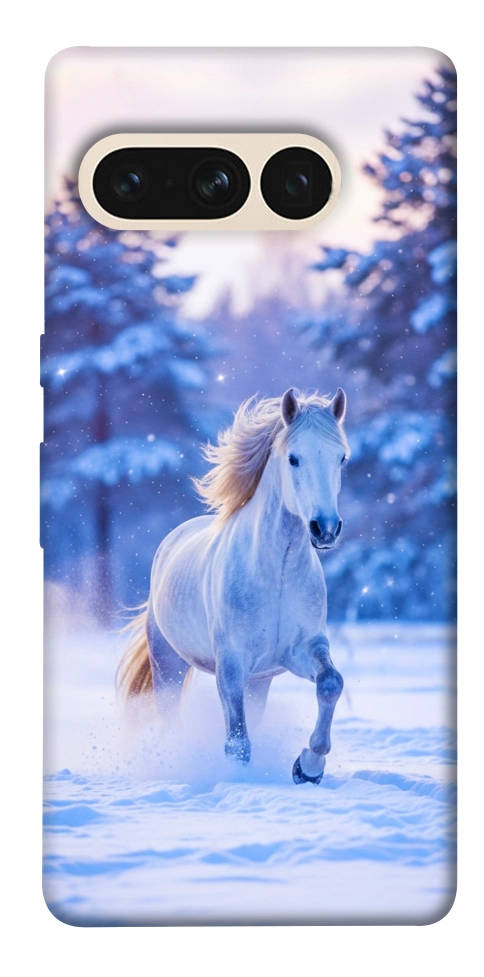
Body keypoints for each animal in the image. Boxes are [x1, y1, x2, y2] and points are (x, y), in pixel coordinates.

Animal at [118, 386, 350, 784]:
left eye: (341, 458)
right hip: (168, 665)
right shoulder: (231, 664)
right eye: (293, 458)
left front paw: (308, 767)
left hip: (259, 682)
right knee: (170, 717)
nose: (325, 529)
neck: (277, 573)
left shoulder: (301, 649)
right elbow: (237, 742)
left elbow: (331, 683)